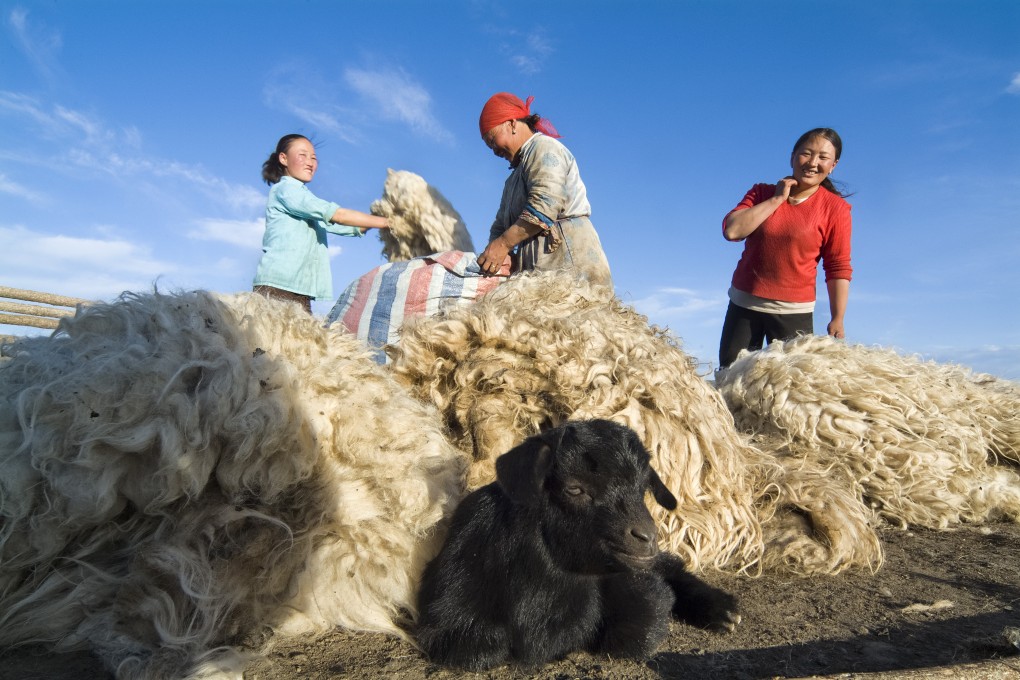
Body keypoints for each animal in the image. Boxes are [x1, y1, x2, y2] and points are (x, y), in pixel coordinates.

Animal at [415, 419, 740, 670]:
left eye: (643, 488)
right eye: (574, 489)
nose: (646, 537)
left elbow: (638, 628)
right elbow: (480, 649)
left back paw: (723, 611)